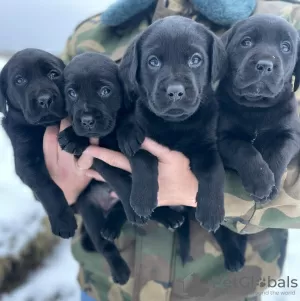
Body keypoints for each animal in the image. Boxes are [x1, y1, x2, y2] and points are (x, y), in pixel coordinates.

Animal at [0, 48, 77, 238]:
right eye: (20, 80)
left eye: (53, 74)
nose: (45, 99)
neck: (44, 127)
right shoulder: (26, 162)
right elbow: (47, 187)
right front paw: (63, 222)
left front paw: (72, 136)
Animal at [118, 15, 226, 231]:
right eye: (153, 62)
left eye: (195, 59)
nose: (175, 91)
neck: (176, 125)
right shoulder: (145, 138)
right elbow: (143, 157)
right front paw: (142, 199)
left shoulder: (206, 146)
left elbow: (214, 171)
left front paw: (212, 211)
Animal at [217, 13, 300, 202]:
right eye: (246, 42)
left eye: (285, 47)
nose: (265, 65)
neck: (256, 108)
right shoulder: (223, 138)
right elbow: (244, 149)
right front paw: (261, 180)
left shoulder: (291, 135)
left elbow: (278, 153)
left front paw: (272, 185)